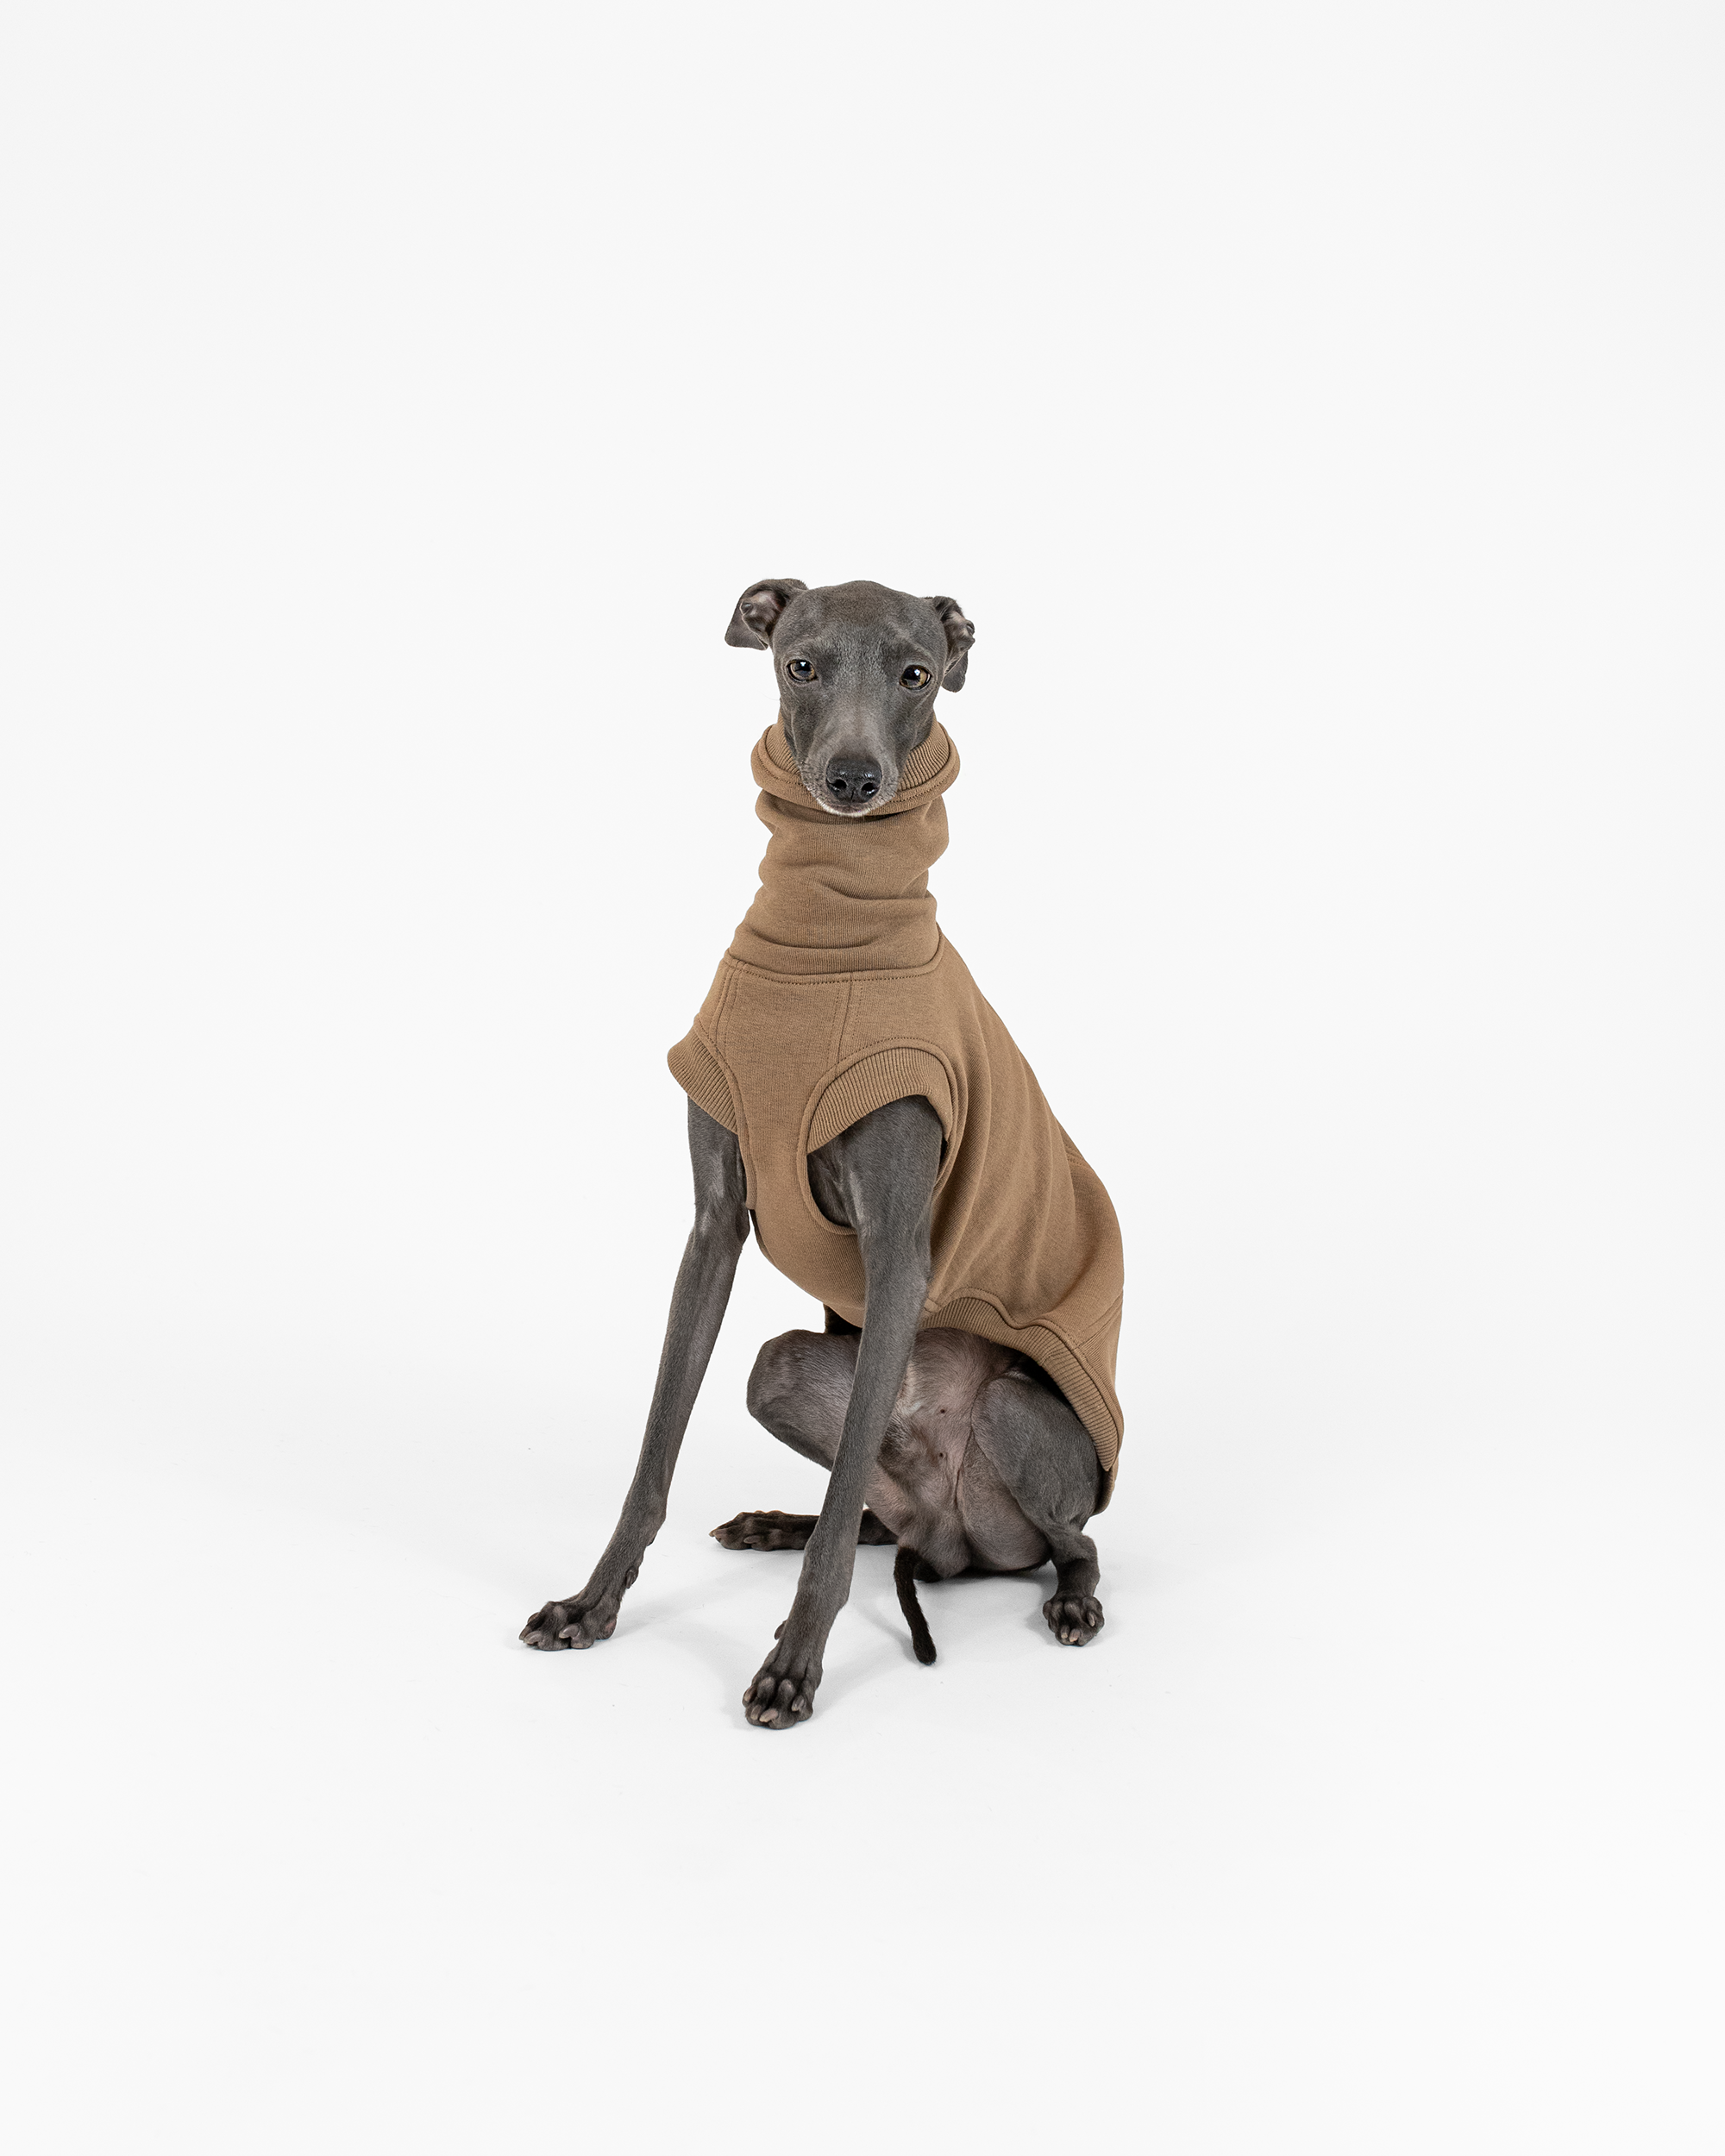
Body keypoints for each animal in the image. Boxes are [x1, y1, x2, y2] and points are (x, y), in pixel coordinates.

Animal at [522, 579, 1125, 1728]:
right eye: (799, 663)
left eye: (916, 673)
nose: (852, 780)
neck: (822, 930)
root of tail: (951, 1546)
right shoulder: (711, 1228)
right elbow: (653, 1459)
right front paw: (590, 1603)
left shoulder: (898, 1254)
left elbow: (843, 1503)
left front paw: (793, 1663)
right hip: (782, 1370)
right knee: (877, 1512)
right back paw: (776, 1521)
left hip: (1019, 1422)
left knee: (1065, 1542)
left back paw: (1071, 1600)